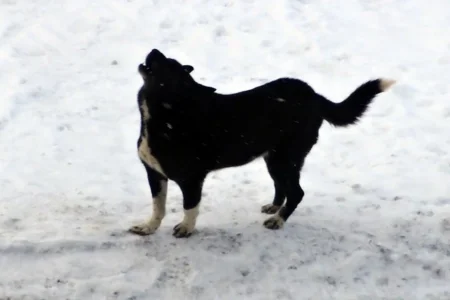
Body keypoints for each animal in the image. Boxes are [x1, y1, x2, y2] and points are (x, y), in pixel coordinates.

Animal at [128, 48, 396, 238]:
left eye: (168, 65)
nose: (154, 49)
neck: (169, 111)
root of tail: (314, 96)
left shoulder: (192, 179)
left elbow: (190, 206)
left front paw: (186, 228)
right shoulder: (154, 174)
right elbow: (158, 207)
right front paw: (148, 228)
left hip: (285, 158)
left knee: (296, 192)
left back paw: (278, 220)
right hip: (274, 157)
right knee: (282, 187)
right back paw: (274, 208)